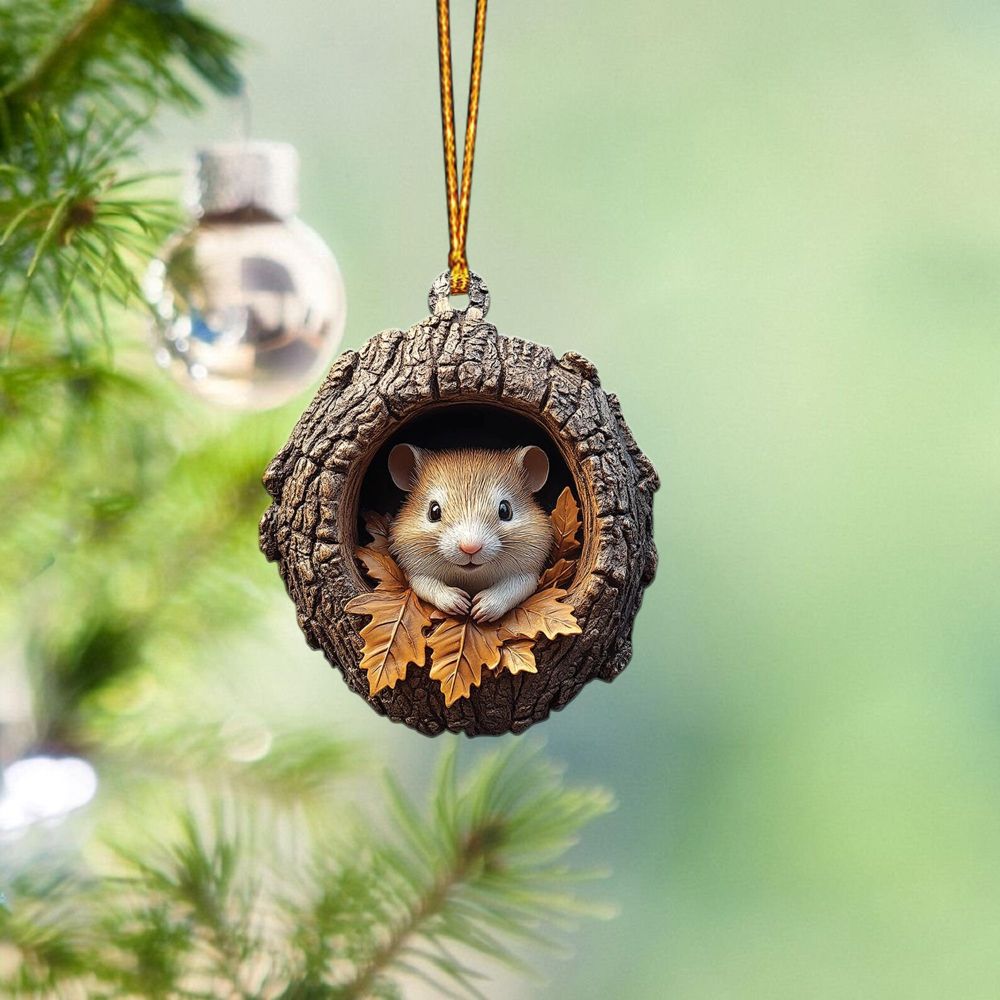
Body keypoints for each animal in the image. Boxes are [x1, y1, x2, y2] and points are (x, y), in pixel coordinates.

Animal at [387, 444, 555, 622]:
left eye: (505, 510)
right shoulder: (415, 572)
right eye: (434, 511)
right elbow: (426, 585)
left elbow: (515, 588)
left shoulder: (529, 574)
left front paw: (481, 608)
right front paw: (458, 603)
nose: (470, 548)